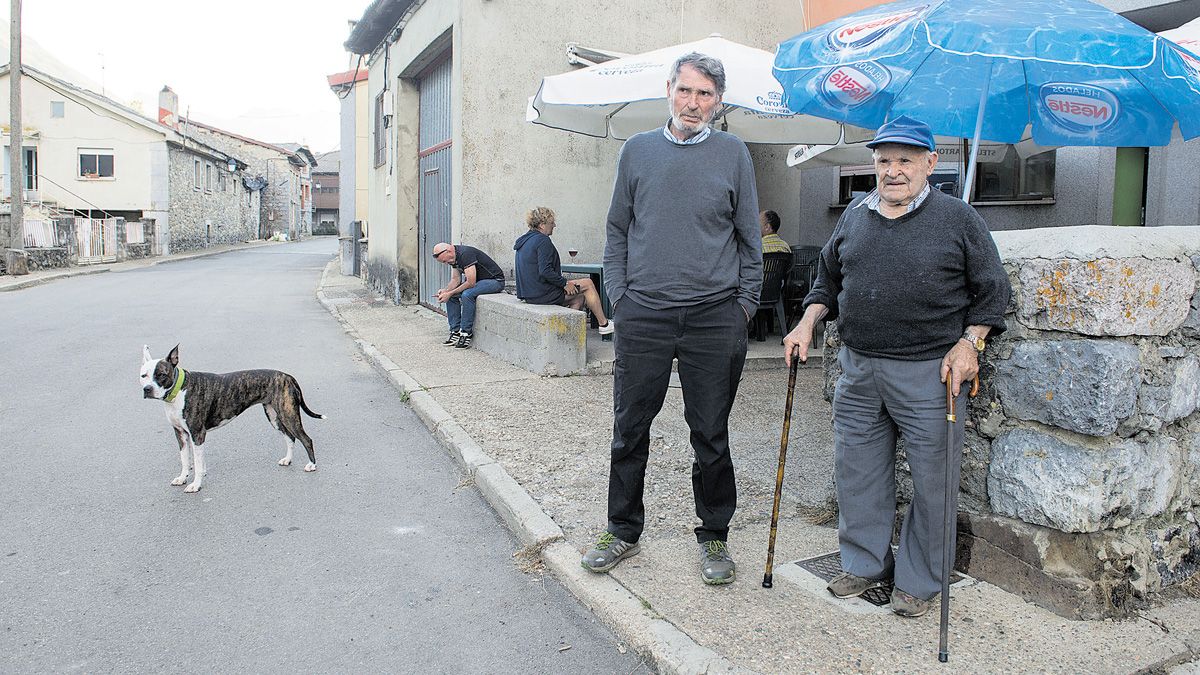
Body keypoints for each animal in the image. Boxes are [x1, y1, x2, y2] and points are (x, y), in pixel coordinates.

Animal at [141, 343, 326, 492]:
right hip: (274, 416)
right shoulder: (181, 434)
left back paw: (312, 465)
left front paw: (196, 485)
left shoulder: (197, 434)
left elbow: (198, 463)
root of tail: (288, 376)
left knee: (306, 439)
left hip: (289, 415)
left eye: (161, 375)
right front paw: (182, 478)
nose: (147, 389)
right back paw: (287, 460)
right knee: (290, 437)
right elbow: (186, 460)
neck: (179, 390)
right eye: (144, 375)